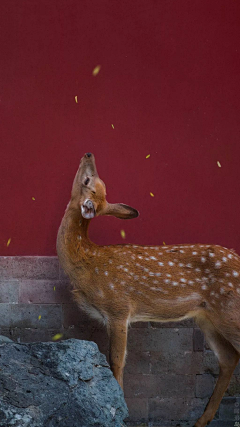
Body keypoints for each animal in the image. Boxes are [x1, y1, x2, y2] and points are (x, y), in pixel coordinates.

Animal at [57, 153, 240, 427]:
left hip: (230, 309)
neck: (88, 263)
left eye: (89, 180)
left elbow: (116, 360)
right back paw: (201, 420)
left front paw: (120, 411)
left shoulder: (118, 307)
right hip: (207, 317)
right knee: (228, 358)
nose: (89, 154)